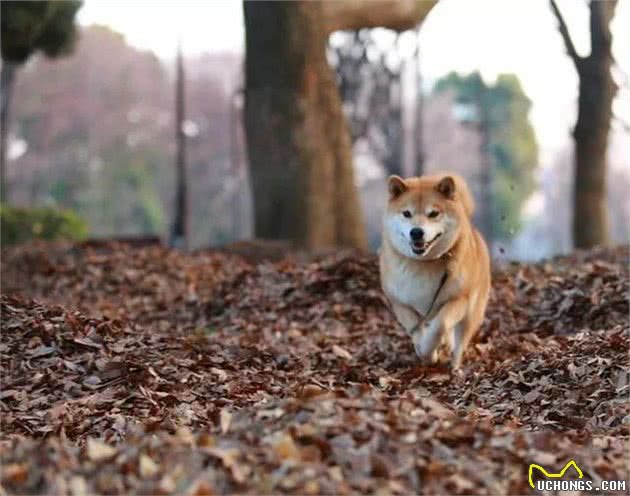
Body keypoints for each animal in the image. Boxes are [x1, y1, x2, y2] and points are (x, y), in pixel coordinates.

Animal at [380, 173, 494, 368]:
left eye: (433, 213)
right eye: (406, 213)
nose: (416, 232)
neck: (423, 263)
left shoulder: (458, 299)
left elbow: (439, 326)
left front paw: (429, 350)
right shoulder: (401, 303)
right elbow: (415, 330)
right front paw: (426, 351)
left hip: (471, 314)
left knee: (459, 341)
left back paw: (455, 367)